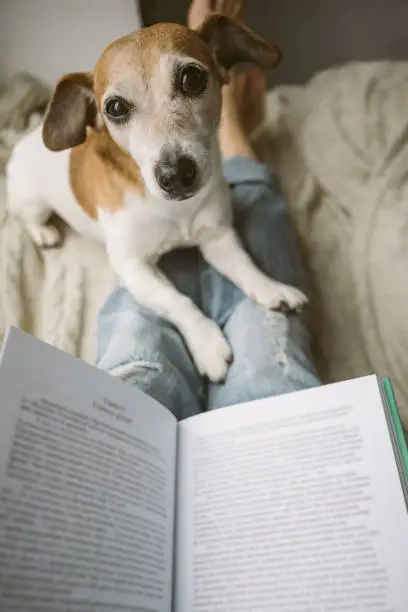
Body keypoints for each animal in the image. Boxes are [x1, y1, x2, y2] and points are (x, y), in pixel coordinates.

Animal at [6, 15, 306, 382]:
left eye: (192, 78)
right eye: (115, 107)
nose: (175, 174)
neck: (175, 211)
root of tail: (25, 139)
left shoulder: (218, 238)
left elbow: (245, 267)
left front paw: (271, 288)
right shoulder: (134, 268)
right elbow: (179, 302)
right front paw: (207, 344)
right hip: (33, 202)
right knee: (27, 219)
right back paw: (44, 233)